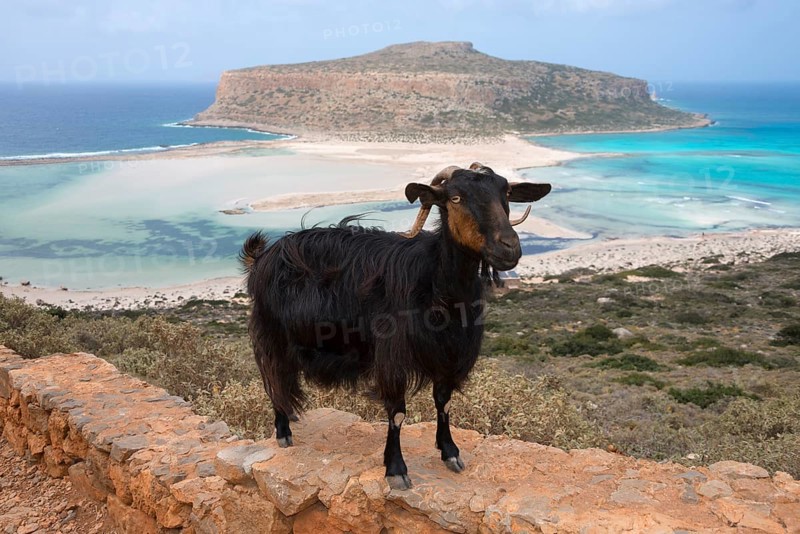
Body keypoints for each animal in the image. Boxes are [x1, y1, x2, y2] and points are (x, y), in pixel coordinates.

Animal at [240, 162, 551, 490]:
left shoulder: (448, 354)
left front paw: (450, 452)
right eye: (455, 198)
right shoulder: (392, 357)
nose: (508, 248)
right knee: (273, 376)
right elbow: (398, 413)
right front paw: (396, 470)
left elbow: (444, 403)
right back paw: (283, 430)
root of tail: (262, 256)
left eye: (506, 193)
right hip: (271, 333)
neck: (437, 284)